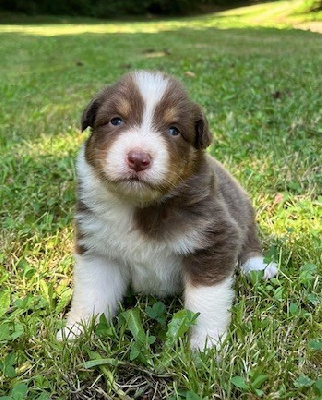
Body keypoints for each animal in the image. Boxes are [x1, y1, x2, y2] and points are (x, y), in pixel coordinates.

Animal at [57, 71, 276, 350]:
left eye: (174, 130)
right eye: (116, 120)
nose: (138, 159)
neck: (140, 205)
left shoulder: (214, 238)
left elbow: (207, 302)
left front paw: (206, 347)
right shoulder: (98, 248)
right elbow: (91, 295)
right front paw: (74, 334)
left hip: (241, 210)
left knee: (249, 242)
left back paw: (260, 267)